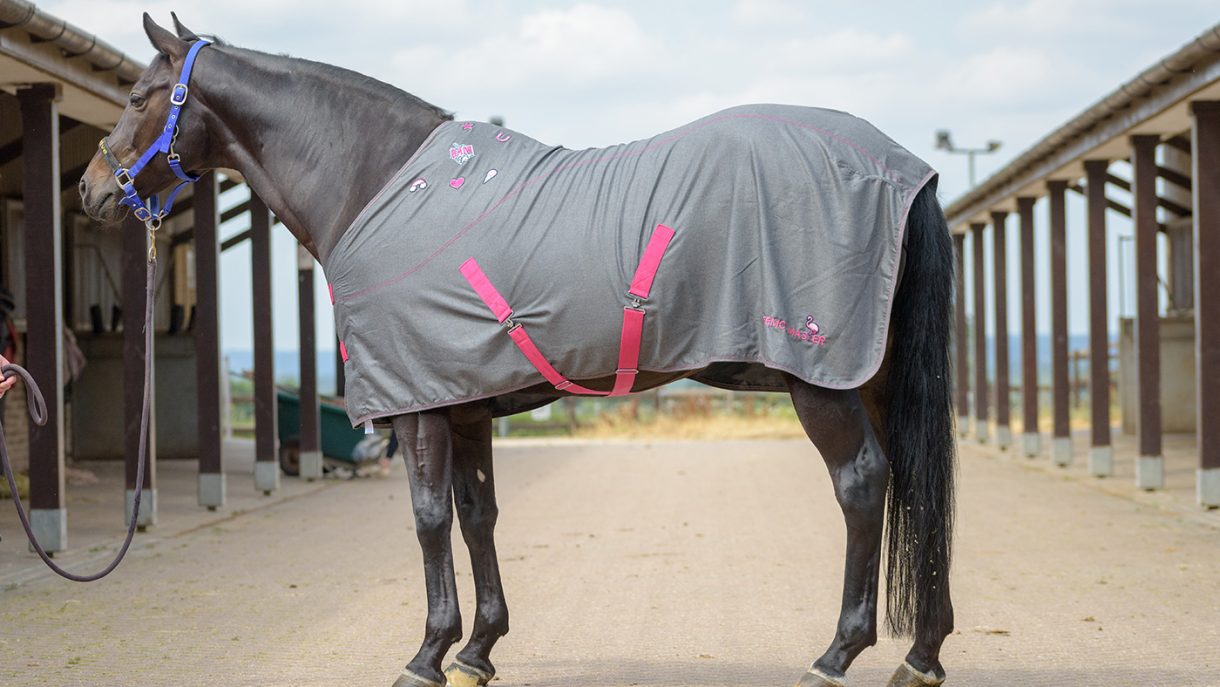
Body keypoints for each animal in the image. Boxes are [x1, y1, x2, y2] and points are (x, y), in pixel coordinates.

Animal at [79, 14, 956, 687]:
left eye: (137, 96)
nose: (90, 189)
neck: (375, 185)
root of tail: (904, 169)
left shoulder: (420, 406)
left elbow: (430, 518)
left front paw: (427, 653)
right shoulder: (463, 399)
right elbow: (477, 516)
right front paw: (477, 649)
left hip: (823, 378)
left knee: (862, 483)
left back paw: (837, 654)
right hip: (872, 378)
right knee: (914, 484)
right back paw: (920, 653)